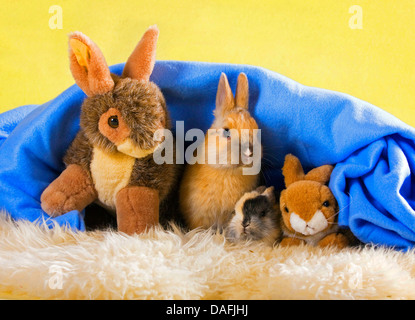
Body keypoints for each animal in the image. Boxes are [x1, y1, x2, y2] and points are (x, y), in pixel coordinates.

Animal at [39, 25, 180, 235]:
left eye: (161, 118)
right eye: (113, 121)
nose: (150, 144)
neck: (115, 157)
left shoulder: (144, 180)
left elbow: (135, 204)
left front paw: (139, 233)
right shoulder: (83, 155)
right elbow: (74, 177)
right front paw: (53, 201)